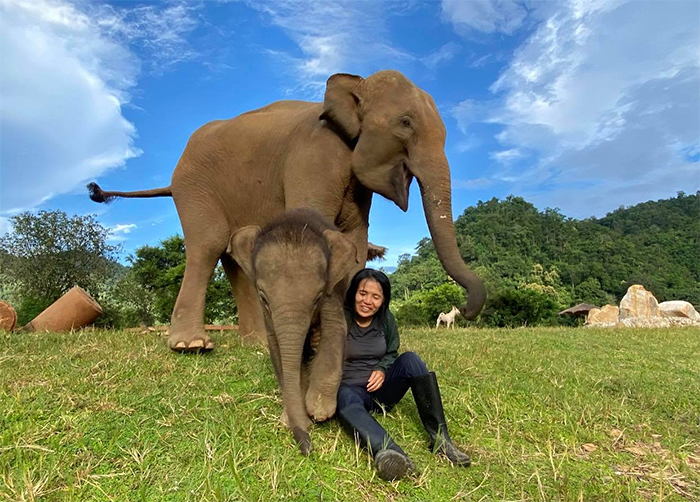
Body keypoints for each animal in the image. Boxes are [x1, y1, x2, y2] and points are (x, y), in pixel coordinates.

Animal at [89, 69, 486, 352]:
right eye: (405, 123)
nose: (465, 310)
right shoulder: (313, 159)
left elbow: (356, 243)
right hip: (194, 187)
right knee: (208, 244)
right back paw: (192, 345)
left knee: (232, 252)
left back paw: (257, 345)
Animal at [230, 208, 358, 454]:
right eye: (263, 297)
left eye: (318, 297)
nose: (307, 447)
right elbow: (276, 346)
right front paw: (291, 419)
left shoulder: (333, 288)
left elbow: (336, 329)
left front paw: (319, 410)